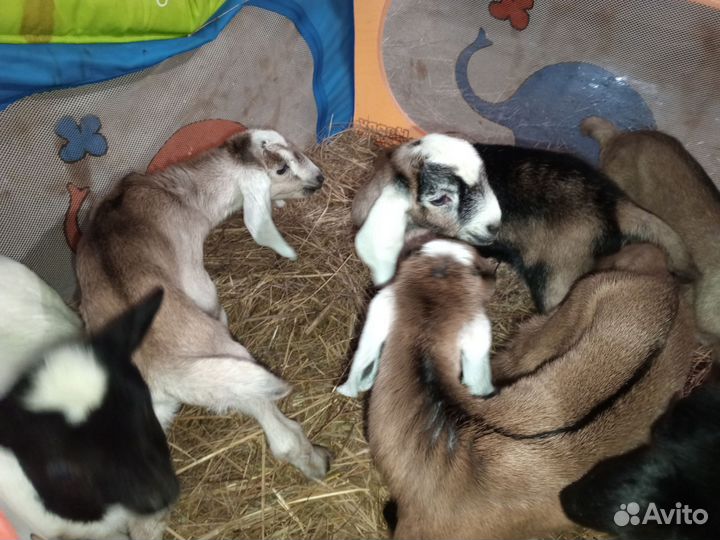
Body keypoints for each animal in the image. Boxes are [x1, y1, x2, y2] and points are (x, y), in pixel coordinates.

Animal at [75, 128, 331, 481]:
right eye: (280, 169)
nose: (319, 178)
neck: (183, 197)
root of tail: (164, 369)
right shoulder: (199, 284)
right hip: (231, 368)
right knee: (280, 433)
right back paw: (318, 461)